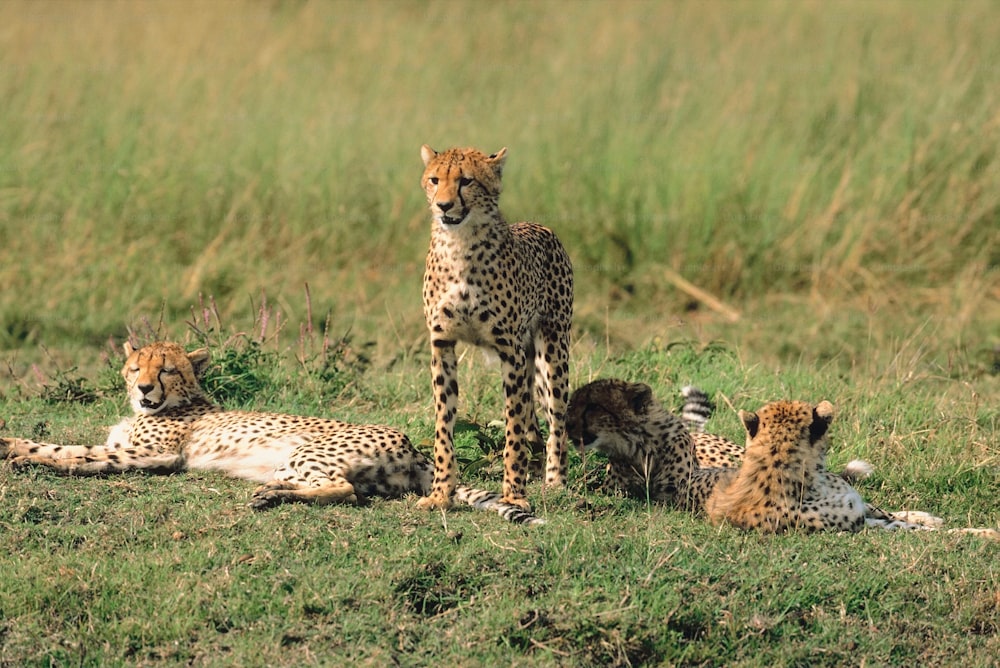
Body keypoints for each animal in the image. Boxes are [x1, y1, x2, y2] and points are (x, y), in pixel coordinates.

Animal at [0, 344, 544, 528]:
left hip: (305, 453)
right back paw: (271, 493)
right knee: (351, 491)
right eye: (137, 366)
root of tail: (412, 444)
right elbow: (79, 449)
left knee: (343, 490)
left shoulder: (154, 456)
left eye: (167, 369)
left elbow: (72, 453)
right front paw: (17, 446)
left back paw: (270, 494)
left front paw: (19, 452)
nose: (144, 387)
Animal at [416, 145, 572, 512]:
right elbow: (444, 426)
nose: (444, 205)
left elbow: (512, 428)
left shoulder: (509, 351)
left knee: (557, 420)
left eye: (466, 181)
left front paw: (514, 494)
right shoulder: (442, 344)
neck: (459, 244)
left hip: (553, 353)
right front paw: (441, 493)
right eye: (435, 179)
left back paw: (554, 480)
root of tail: (540, 225)